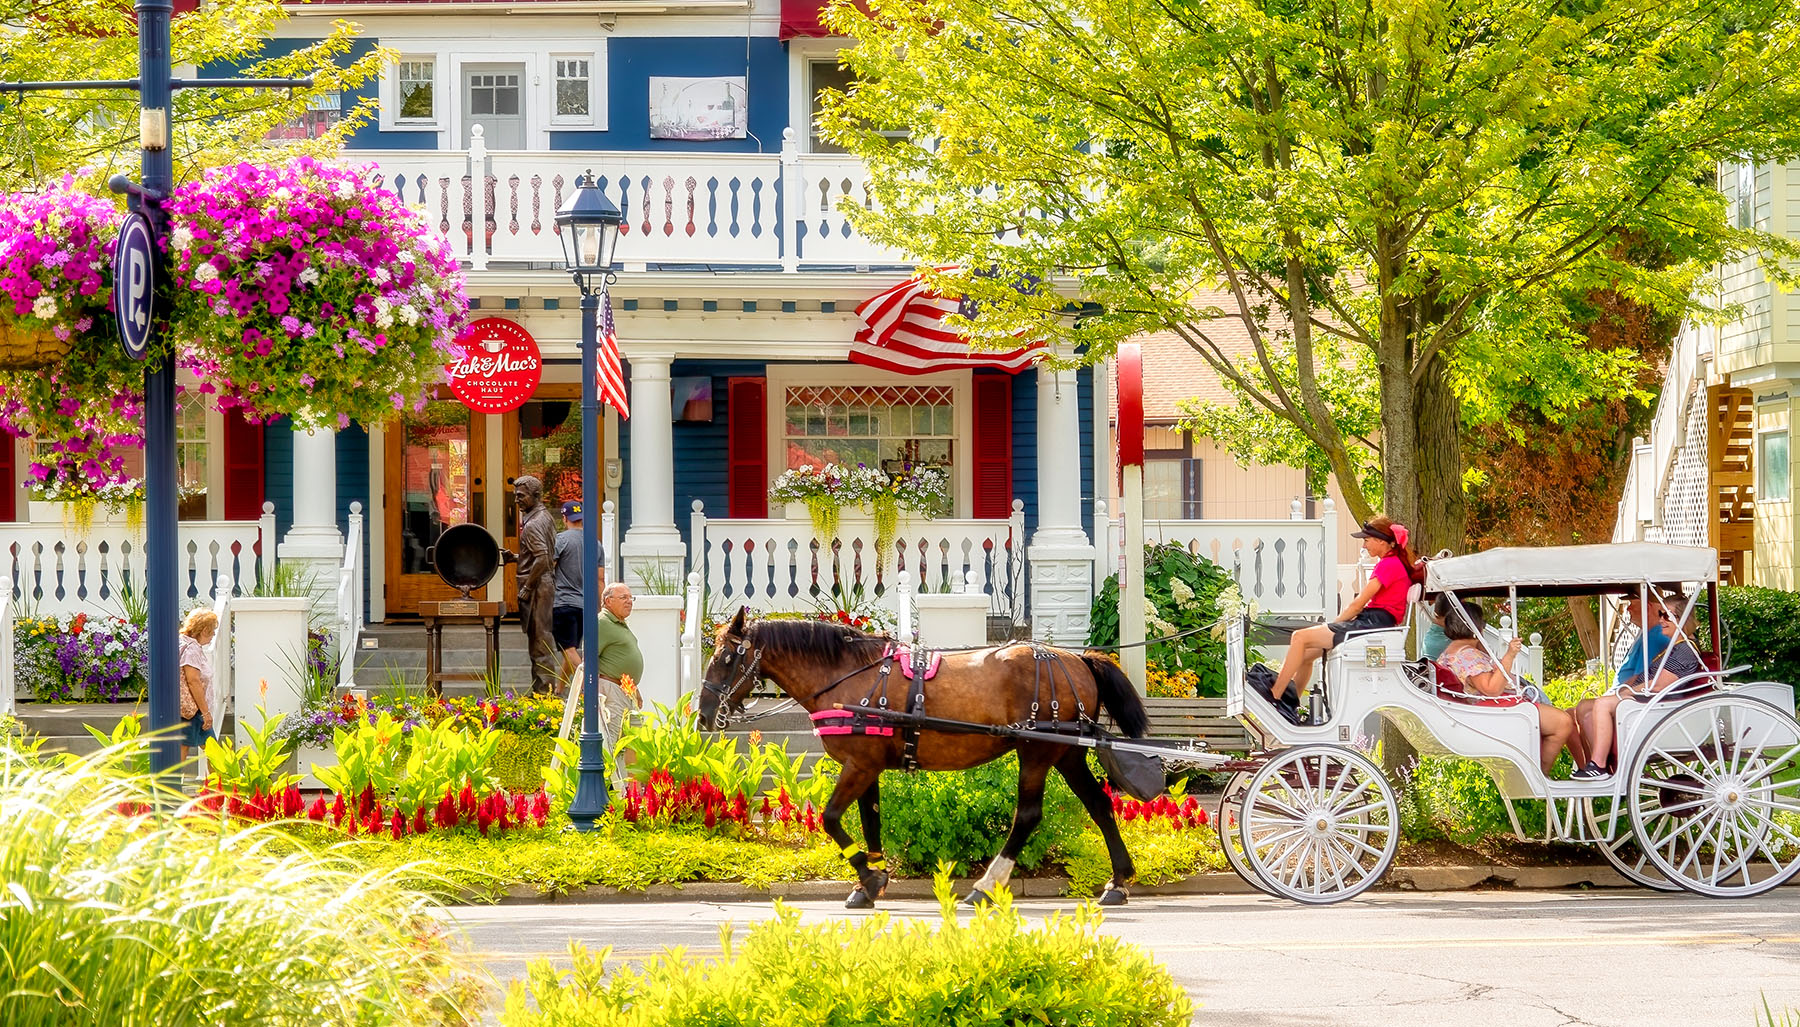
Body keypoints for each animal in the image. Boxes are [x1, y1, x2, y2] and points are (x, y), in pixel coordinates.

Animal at [694, 611, 1144, 906]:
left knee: (1028, 815)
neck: (846, 675)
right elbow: (870, 819)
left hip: (1036, 751)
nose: (703, 715)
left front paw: (868, 877)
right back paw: (1118, 881)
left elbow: (831, 818)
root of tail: (1077, 658)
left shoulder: (859, 766)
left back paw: (985, 885)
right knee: (1099, 804)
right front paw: (869, 880)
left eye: (725, 658)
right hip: (1067, 753)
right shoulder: (868, 765)